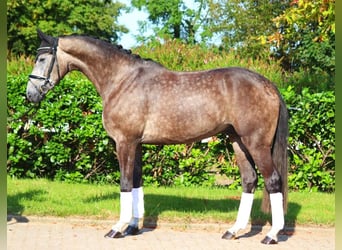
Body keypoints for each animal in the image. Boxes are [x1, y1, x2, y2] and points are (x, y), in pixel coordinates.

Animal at [27, 29, 288, 244]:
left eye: (42, 59)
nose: (30, 95)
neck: (122, 80)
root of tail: (268, 85)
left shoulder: (124, 142)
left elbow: (125, 183)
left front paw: (117, 228)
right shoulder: (136, 144)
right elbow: (136, 181)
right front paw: (133, 226)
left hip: (256, 144)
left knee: (273, 180)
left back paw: (272, 235)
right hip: (238, 142)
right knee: (249, 180)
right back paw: (233, 231)